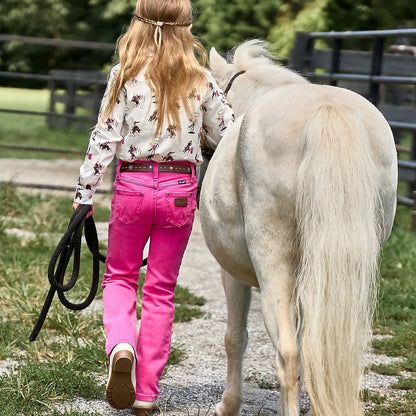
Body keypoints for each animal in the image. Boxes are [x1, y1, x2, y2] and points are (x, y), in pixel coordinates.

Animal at [200, 39, 398, 416]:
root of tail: (327, 109)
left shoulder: (231, 274)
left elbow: (235, 338)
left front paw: (228, 405)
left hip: (273, 266)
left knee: (287, 352)